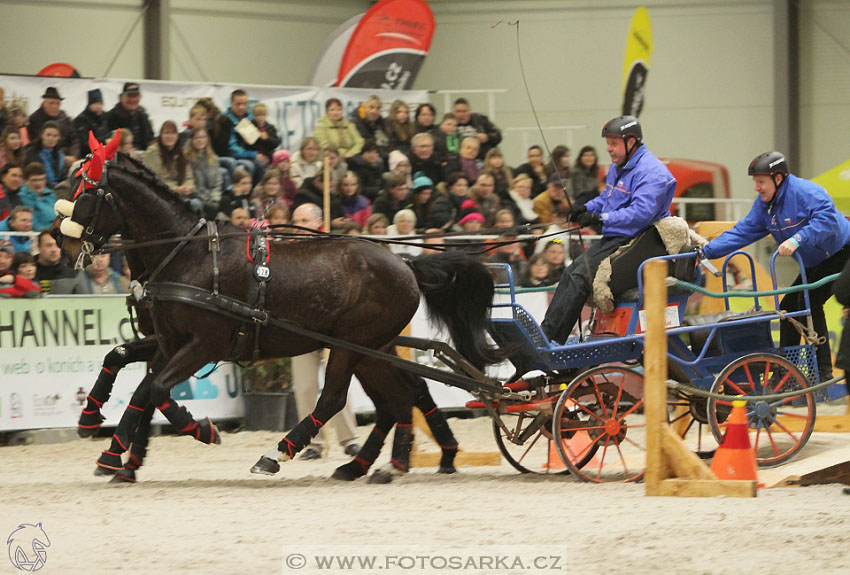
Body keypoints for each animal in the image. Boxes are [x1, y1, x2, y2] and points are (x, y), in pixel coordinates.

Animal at [59, 147, 500, 482]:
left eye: (85, 193)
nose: (62, 246)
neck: (188, 255)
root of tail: (406, 263)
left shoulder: (203, 345)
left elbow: (155, 390)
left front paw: (199, 430)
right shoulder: (168, 342)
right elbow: (131, 372)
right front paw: (107, 442)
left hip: (352, 346)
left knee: (338, 398)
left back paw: (279, 454)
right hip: (372, 350)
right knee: (399, 397)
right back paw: (373, 464)